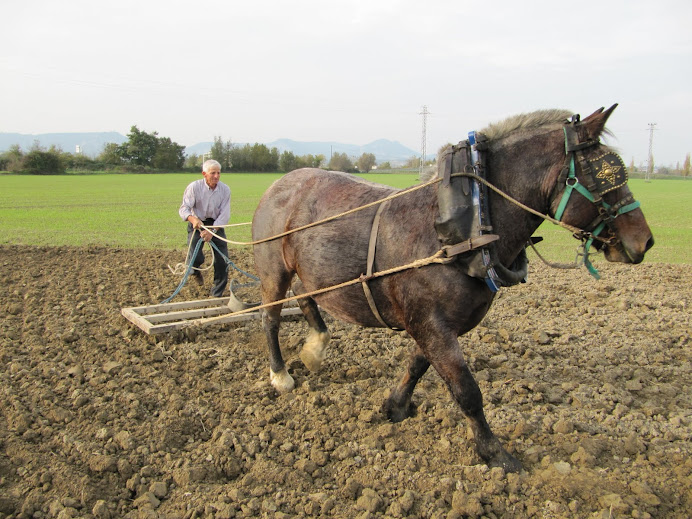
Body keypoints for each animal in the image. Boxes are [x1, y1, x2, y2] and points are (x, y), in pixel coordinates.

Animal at [250, 104, 656, 472]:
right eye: (604, 175)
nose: (645, 241)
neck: (465, 228)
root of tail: (279, 184)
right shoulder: (431, 324)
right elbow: (467, 391)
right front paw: (496, 454)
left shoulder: (436, 325)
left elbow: (418, 365)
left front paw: (396, 406)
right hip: (273, 271)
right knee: (270, 319)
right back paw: (280, 375)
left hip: (308, 273)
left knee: (306, 301)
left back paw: (314, 349)